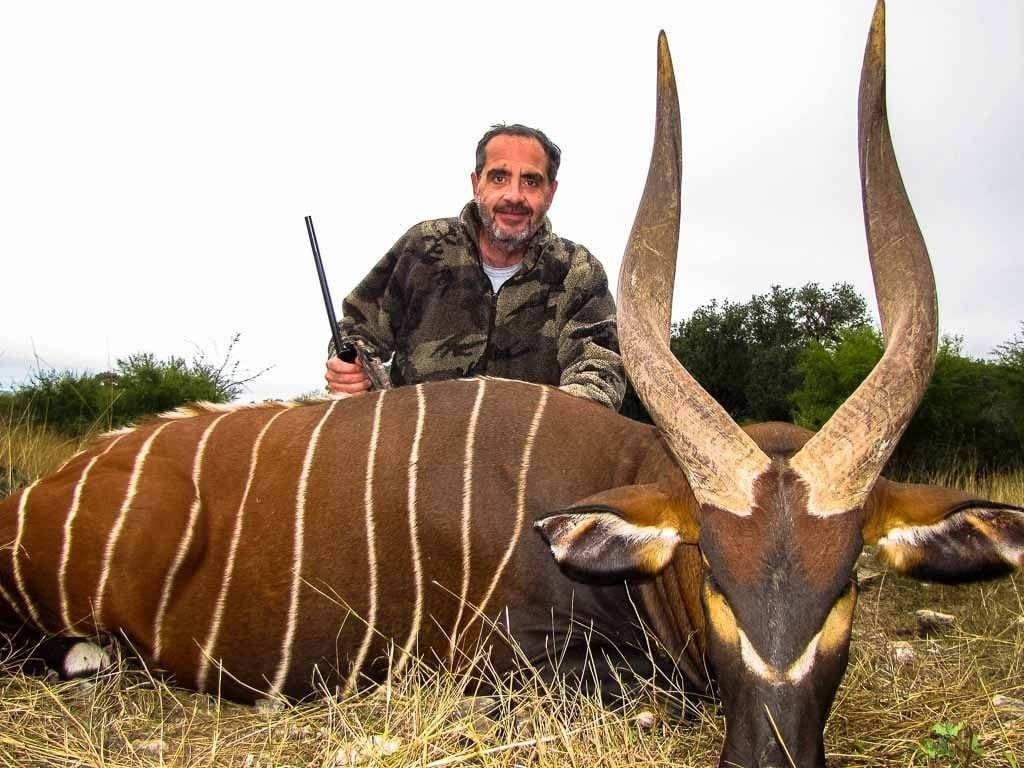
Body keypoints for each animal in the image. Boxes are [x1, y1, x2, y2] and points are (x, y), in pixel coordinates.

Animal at [2, 3, 1022, 766]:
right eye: (713, 573)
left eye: (847, 580)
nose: (769, 755)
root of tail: (43, 491)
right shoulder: (511, 667)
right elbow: (646, 700)